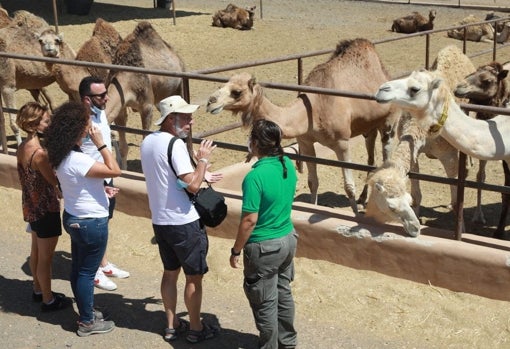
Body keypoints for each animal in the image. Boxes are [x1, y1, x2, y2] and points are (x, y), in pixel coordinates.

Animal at [207, 38, 402, 212]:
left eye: (237, 92)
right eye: (224, 84)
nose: (210, 102)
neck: (313, 109)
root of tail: (385, 73)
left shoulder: (342, 142)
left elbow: (348, 186)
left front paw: (355, 215)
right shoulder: (306, 142)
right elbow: (312, 182)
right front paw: (312, 207)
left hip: (390, 121)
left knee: (386, 155)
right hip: (369, 127)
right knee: (371, 158)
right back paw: (363, 199)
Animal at [364, 44, 476, 235]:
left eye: (414, 89)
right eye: (391, 205)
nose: (382, 89)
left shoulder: (448, 155)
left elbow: (456, 199)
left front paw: (461, 230)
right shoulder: (413, 150)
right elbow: (417, 193)